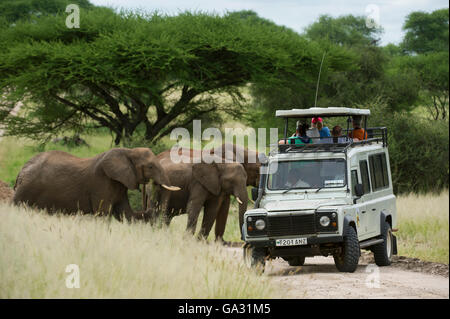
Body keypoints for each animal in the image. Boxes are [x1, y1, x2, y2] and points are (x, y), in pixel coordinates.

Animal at [12, 148, 178, 221]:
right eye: (150, 166)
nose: (154, 185)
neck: (127, 151)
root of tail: (21, 170)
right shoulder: (101, 183)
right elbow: (103, 214)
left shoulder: (119, 184)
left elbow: (124, 213)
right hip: (26, 189)